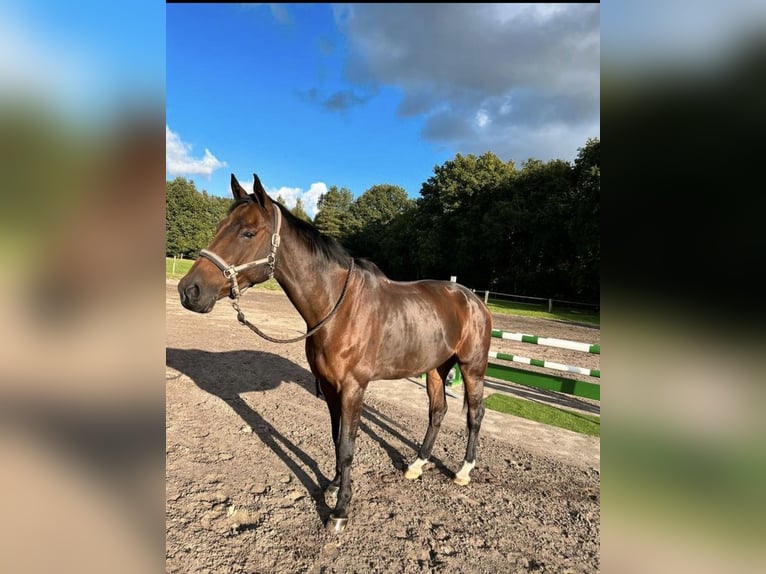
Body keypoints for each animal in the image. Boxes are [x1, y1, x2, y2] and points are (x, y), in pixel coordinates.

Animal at [178, 173, 496, 532]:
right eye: (221, 226)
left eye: (248, 232)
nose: (189, 291)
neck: (337, 309)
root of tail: (473, 299)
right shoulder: (330, 388)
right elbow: (335, 437)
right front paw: (331, 485)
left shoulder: (353, 389)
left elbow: (347, 446)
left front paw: (340, 510)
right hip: (435, 369)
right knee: (438, 412)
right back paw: (416, 465)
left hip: (471, 368)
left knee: (475, 415)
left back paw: (463, 471)